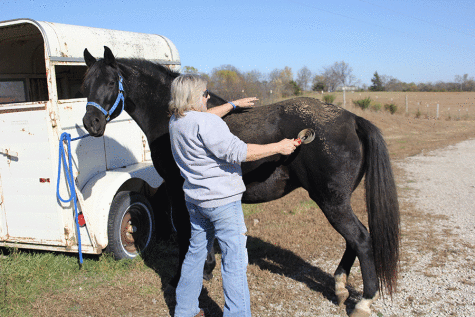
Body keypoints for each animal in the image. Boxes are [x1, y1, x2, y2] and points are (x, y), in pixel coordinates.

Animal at [82, 47, 402, 316]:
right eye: (85, 84)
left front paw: (184, 277)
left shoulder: (178, 190)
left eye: (110, 83)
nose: (91, 123)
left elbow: (187, 234)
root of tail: (352, 119)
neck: (174, 115)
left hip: (331, 200)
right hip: (337, 201)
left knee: (360, 239)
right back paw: (339, 287)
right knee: (353, 240)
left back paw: (363, 302)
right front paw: (207, 269)